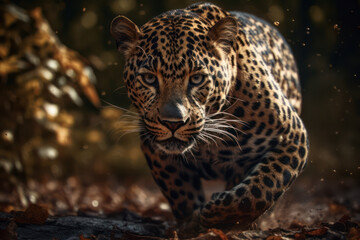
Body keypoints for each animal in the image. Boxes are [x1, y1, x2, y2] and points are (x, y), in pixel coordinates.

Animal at [109, 1, 310, 233]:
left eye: (196, 79)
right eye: (149, 79)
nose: (172, 123)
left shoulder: (292, 135)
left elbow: (262, 189)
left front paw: (216, 214)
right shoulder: (154, 148)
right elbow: (179, 192)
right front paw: (191, 223)